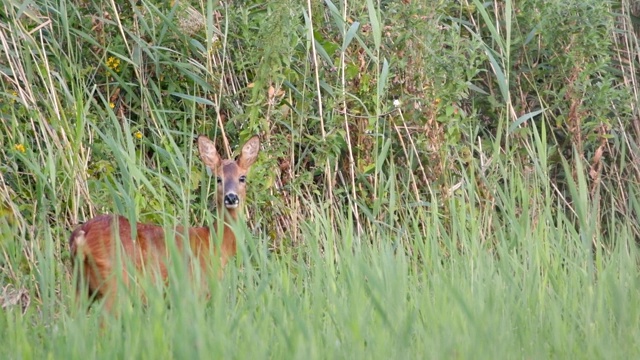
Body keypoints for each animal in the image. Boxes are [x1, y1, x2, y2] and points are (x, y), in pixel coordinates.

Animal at [69, 135, 258, 310]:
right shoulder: (194, 290)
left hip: (81, 286)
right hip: (114, 284)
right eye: (218, 179)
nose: (231, 197)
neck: (214, 242)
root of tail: (82, 236)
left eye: (242, 178)